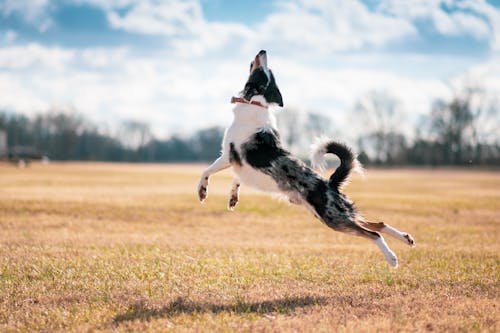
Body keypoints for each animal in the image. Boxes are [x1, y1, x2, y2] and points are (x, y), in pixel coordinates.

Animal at [198, 50, 414, 268]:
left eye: (264, 71)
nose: (263, 51)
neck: (256, 101)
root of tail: (330, 184)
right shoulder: (240, 165)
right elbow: (236, 179)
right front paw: (233, 197)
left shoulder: (228, 155)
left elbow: (207, 171)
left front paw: (202, 191)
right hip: (335, 214)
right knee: (378, 223)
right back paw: (406, 238)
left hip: (332, 218)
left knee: (373, 233)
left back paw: (392, 257)